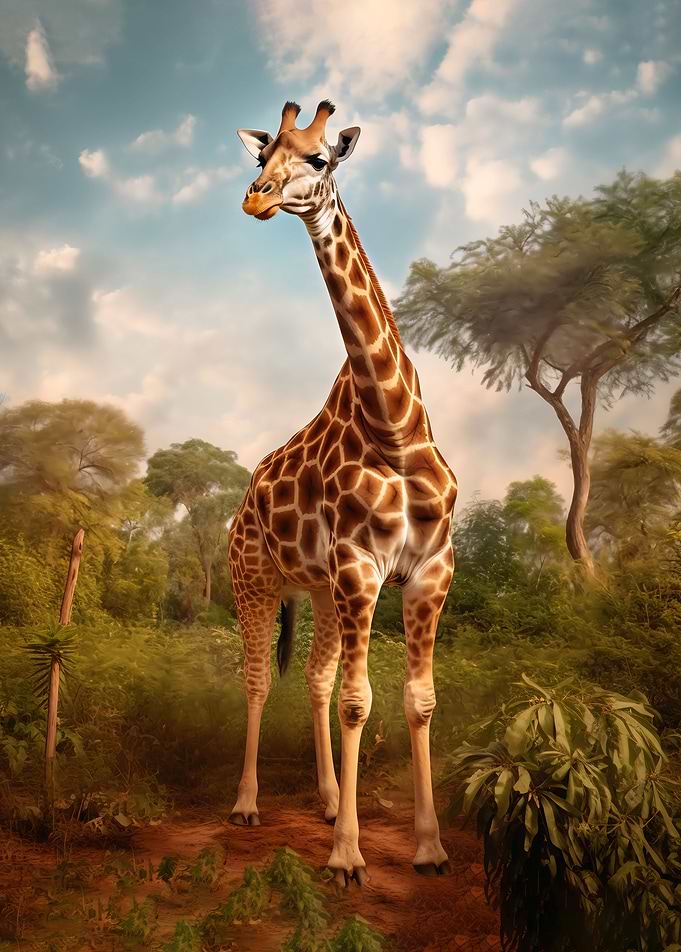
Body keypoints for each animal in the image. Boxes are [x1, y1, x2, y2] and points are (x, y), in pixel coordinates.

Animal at [228, 100, 458, 886]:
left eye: (318, 158)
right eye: (260, 156)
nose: (256, 198)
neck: (396, 425)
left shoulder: (428, 572)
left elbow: (418, 701)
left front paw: (428, 848)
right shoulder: (362, 568)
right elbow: (362, 702)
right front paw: (349, 858)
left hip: (321, 591)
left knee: (315, 679)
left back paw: (329, 801)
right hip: (256, 580)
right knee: (257, 679)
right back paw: (246, 805)